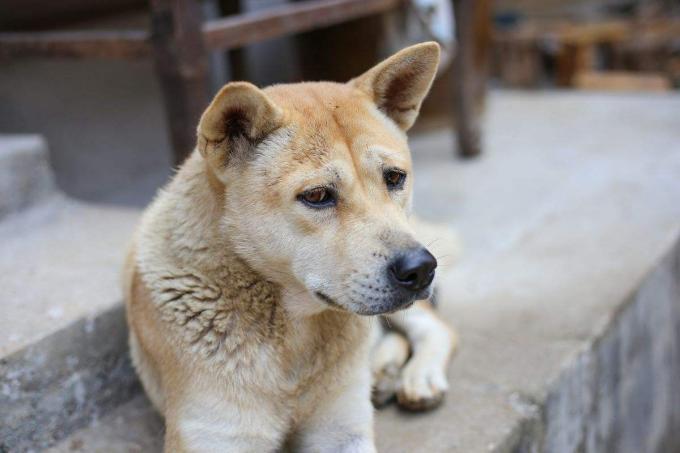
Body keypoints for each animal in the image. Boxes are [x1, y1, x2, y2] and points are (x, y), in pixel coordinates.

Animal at [125, 40, 460, 450]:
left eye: (395, 177)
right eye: (317, 196)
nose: (421, 269)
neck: (291, 330)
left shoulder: (343, 432)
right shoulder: (215, 436)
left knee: (435, 328)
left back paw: (416, 375)